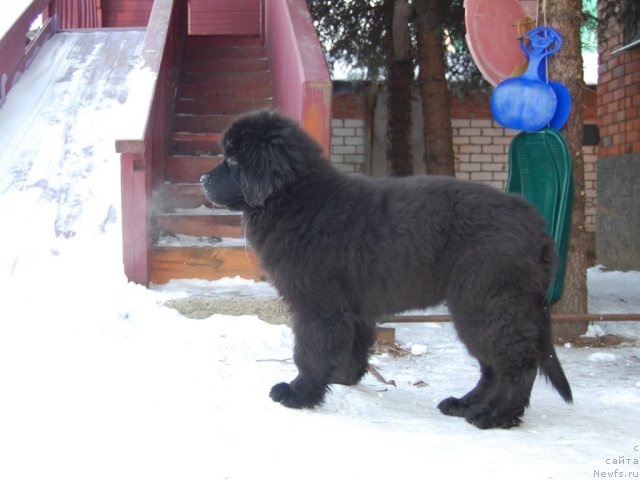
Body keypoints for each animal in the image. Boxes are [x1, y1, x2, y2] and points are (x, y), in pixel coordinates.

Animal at [202, 110, 572, 430]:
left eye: (232, 161)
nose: (203, 178)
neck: (296, 199)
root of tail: (539, 229)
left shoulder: (318, 303)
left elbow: (309, 350)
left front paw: (299, 394)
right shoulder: (353, 306)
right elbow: (356, 344)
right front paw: (343, 378)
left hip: (486, 301)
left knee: (515, 363)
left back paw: (495, 416)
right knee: (493, 367)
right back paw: (465, 405)